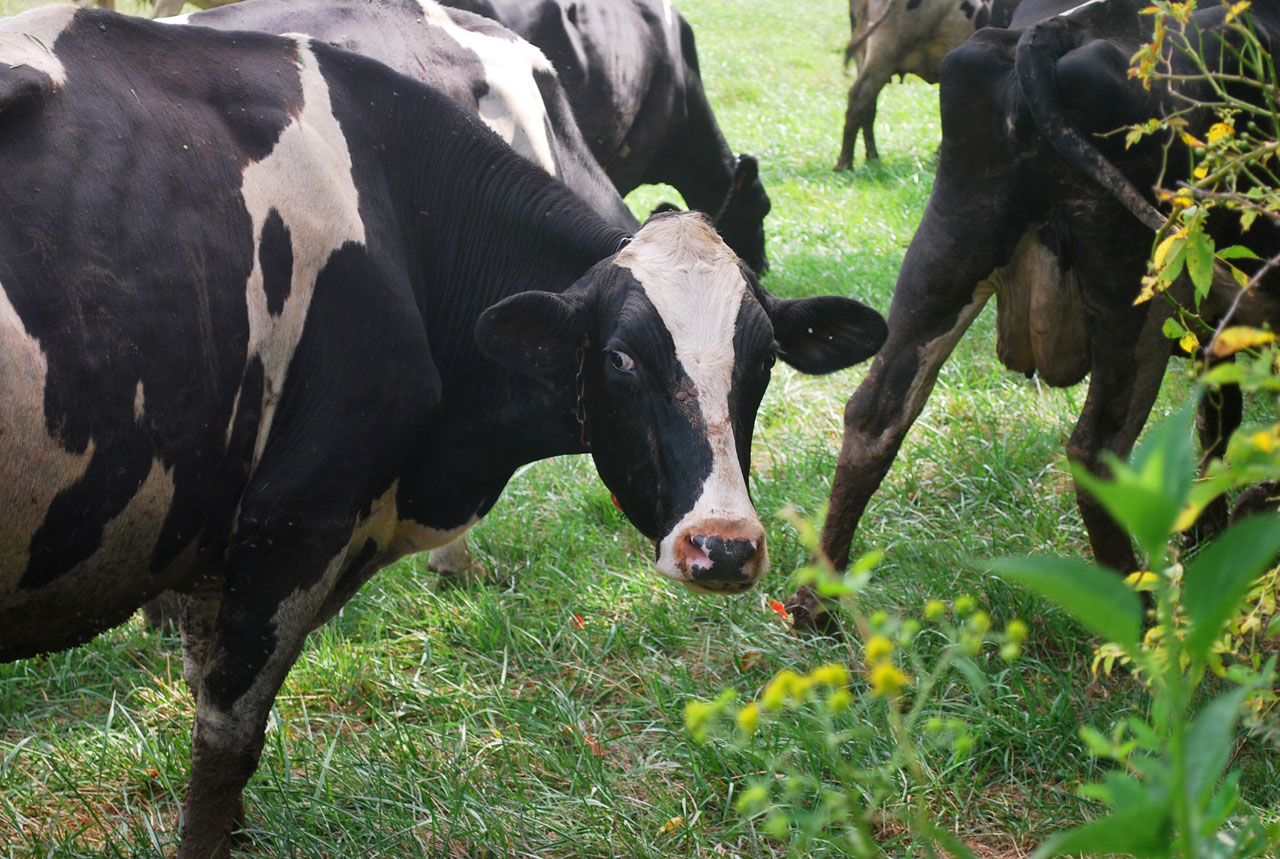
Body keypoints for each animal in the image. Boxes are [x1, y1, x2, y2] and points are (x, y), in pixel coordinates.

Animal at [834, 0, 1024, 170]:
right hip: (884, 53)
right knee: (859, 99)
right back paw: (845, 164)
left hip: (864, 52)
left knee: (868, 106)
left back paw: (872, 157)